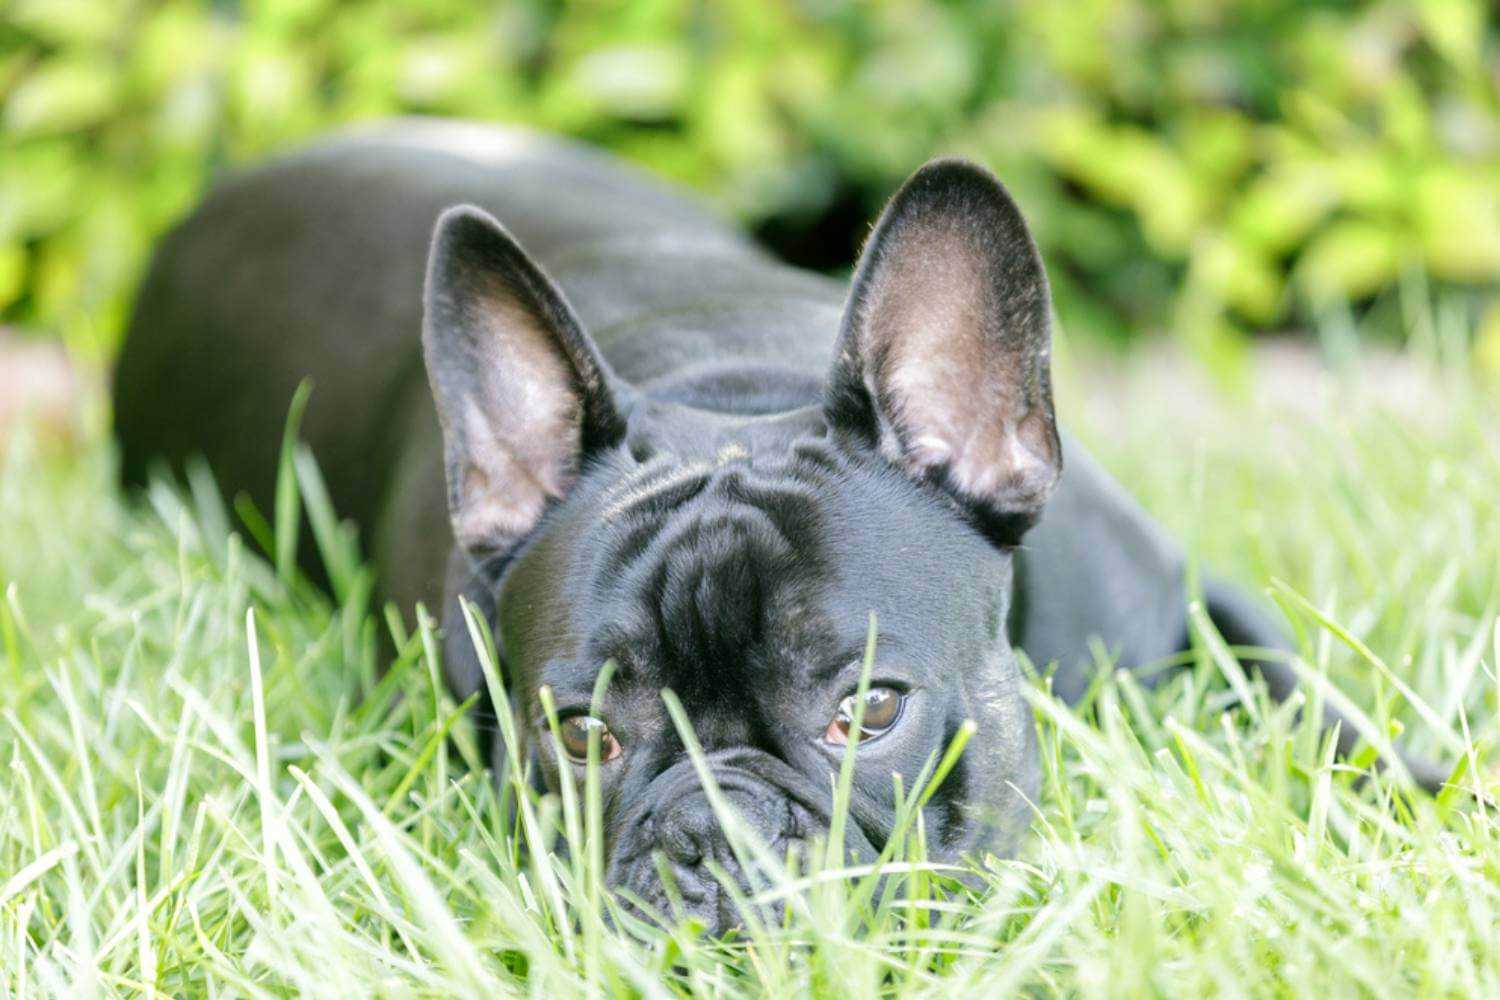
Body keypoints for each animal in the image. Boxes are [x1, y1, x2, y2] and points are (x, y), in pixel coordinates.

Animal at [114, 121, 1440, 935]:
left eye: (871, 712)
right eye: (580, 737)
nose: (718, 833)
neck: (736, 382)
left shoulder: (1188, 598)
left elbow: (1320, 703)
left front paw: (1431, 790)